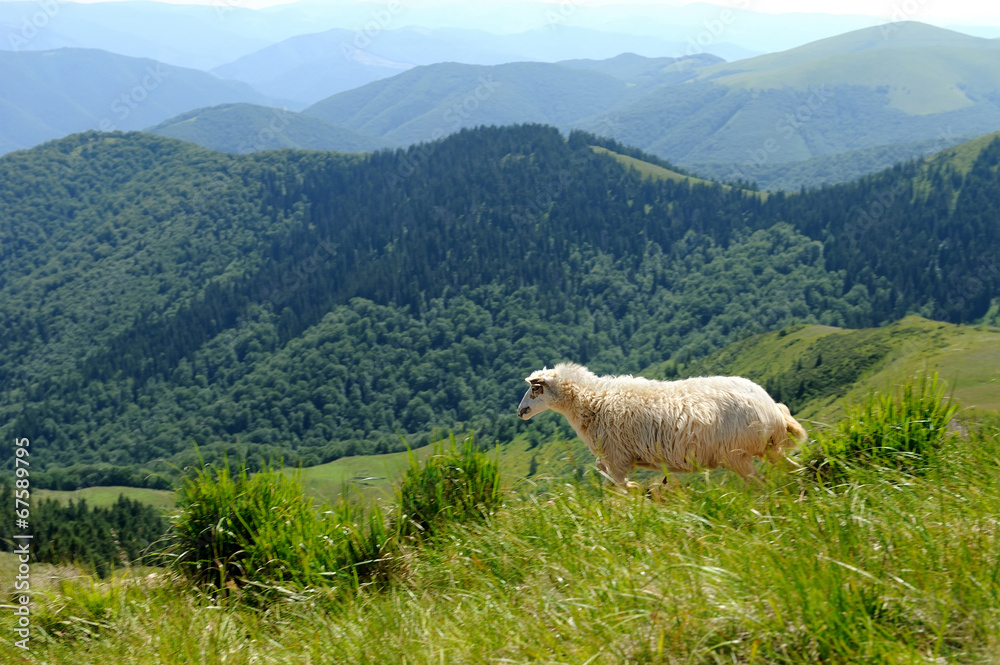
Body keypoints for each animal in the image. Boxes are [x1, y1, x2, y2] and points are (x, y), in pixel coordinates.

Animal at [520, 364, 808, 488]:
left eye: (535, 389)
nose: (520, 411)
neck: (594, 401)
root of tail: (772, 408)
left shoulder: (617, 459)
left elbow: (620, 491)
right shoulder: (615, 461)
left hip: (736, 456)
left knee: (762, 483)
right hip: (767, 450)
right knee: (792, 469)